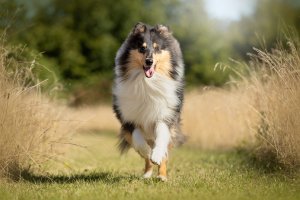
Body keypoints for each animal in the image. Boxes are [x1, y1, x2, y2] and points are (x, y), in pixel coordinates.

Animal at [112, 22, 185, 181]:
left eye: (157, 48)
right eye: (142, 47)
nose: (149, 61)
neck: (147, 83)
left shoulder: (165, 115)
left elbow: (162, 137)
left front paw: (156, 155)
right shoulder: (129, 118)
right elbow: (138, 139)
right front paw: (148, 152)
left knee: (165, 153)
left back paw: (162, 176)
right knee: (145, 157)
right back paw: (146, 174)